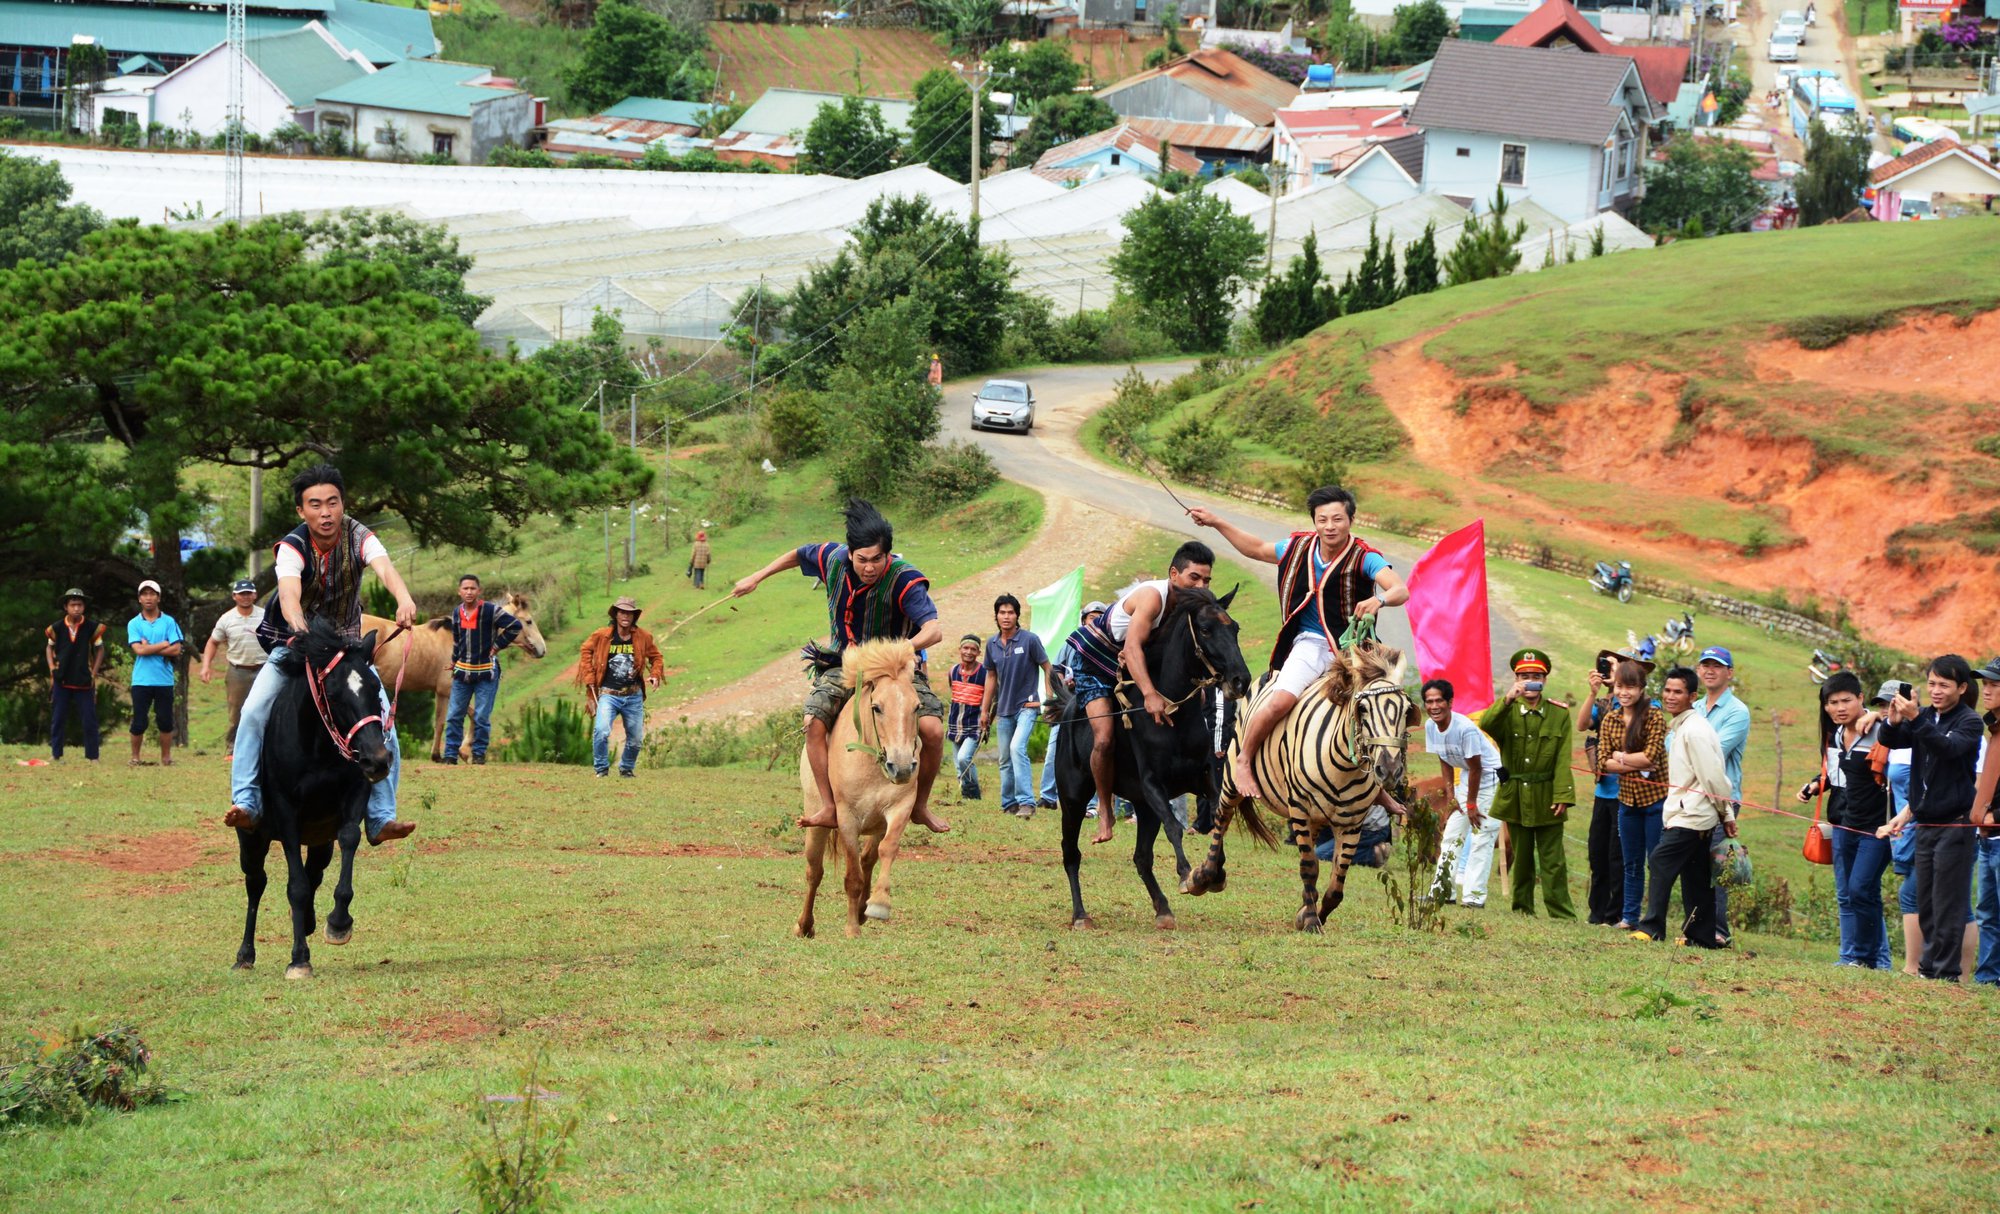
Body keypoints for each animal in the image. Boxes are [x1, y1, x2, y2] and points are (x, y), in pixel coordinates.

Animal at [233, 616, 390, 980]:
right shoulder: (286, 810)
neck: (317, 744)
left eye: (375, 688)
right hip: (252, 838)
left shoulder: (355, 793)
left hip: (320, 841)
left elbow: (349, 839)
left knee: (314, 872)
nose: (377, 760)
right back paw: (245, 954)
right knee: (256, 882)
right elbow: (296, 887)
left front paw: (338, 922)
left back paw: (307, 921)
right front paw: (299, 959)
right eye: (333, 694)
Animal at [360, 592, 548, 760]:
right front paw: (462, 751)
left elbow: (440, 722)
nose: (542, 649)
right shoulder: (451, 690)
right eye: (529, 621)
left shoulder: (442, 693)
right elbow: (469, 716)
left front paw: (437, 755)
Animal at [792, 640, 924, 944]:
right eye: (877, 707)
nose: (902, 767)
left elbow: (888, 849)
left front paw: (879, 904)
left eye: (916, 707)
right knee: (814, 871)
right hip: (816, 820)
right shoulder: (847, 818)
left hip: (876, 824)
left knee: (869, 858)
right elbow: (852, 876)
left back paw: (863, 908)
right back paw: (804, 925)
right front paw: (851, 928)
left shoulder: (900, 808)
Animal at [1048, 588, 1248, 932]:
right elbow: (1175, 827)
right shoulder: (1153, 783)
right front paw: (1189, 874)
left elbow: (1216, 818)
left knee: (1141, 858)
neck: (1173, 715)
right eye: (1205, 629)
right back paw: (1081, 915)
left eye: (1234, 628)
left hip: (1142, 807)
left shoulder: (1204, 775)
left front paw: (1213, 873)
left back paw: (1163, 909)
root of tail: (1070, 708)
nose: (1241, 680)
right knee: (1070, 853)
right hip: (1073, 798)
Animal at [1176, 640, 1416, 936]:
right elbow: (1309, 867)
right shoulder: (1300, 808)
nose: (1390, 769)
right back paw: (1205, 875)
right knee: (1222, 819)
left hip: (1316, 817)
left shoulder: (1352, 823)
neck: (1343, 766)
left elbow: (1337, 885)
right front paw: (1312, 920)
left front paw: (1310, 914)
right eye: (1363, 709)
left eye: (1407, 711)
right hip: (1233, 777)